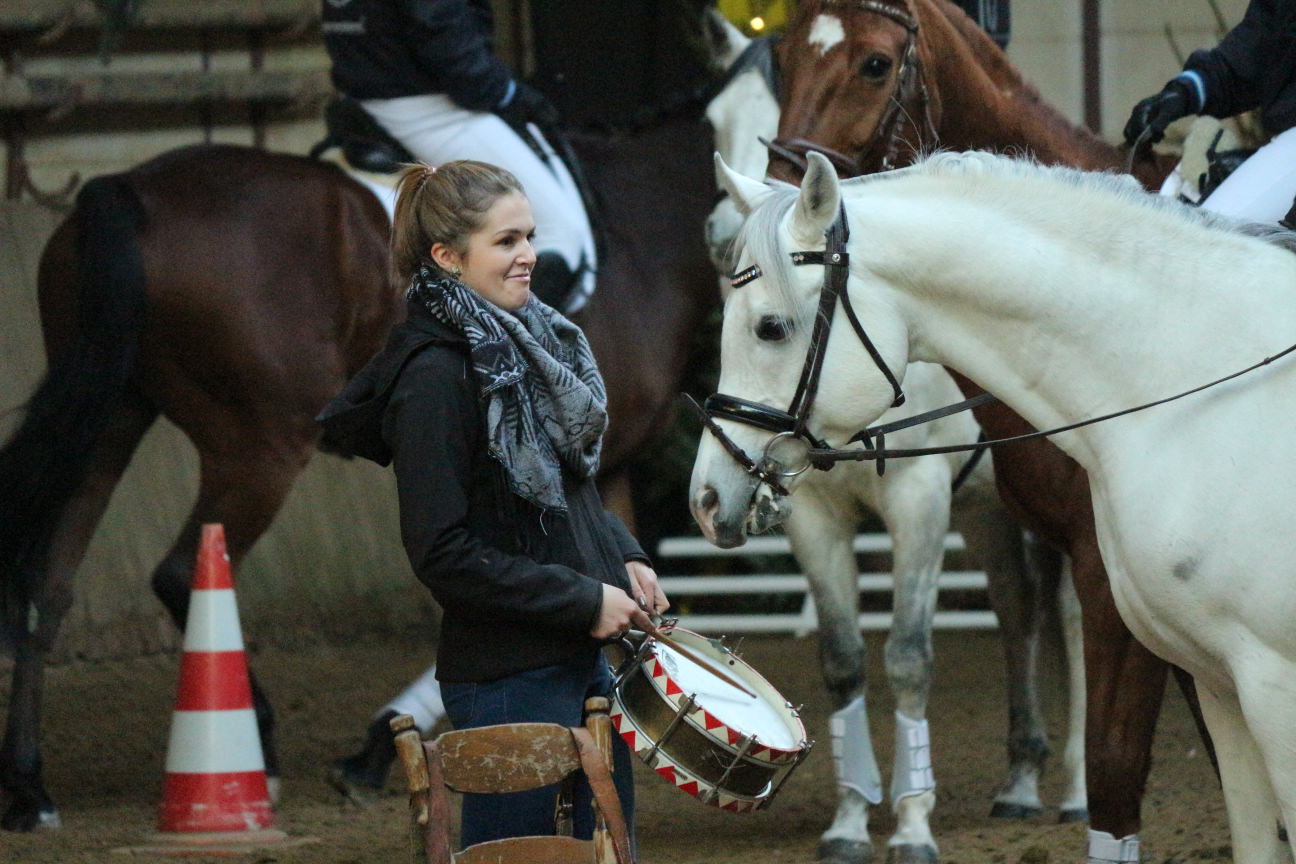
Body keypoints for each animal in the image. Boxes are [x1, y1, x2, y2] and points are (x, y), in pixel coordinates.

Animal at [0, 102, 720, 830]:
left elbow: (616, 572)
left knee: (46, 585)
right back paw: (253, 744)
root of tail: (129, 189)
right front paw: (376, 748)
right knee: (179, 572)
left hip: (111, 414)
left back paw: (29, 787)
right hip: (256, 444)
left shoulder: (607, 473)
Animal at [702, 35, 1084, 864]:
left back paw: (1075, 791)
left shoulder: (918, 502)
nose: (722, 233)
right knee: (1017, 612)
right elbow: (844, 660)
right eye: (713, 116)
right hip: (987, 512)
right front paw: (851, 820)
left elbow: (908, 656)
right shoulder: (816, 515)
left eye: (773, 327)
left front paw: (911, 824)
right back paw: (1020, 780)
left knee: (1069, 619)